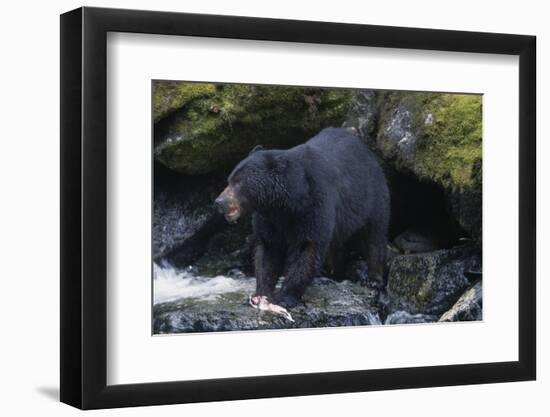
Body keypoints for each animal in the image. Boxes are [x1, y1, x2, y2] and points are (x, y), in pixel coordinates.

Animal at [216, 128, 392, 308]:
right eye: (229, 179)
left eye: (239, 182)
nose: (219, 202)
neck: (287, 202)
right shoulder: (269, 218)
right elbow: (268, 250)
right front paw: (261, 293)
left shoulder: (314, 204)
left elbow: (307, 248)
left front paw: (285, 297)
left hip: (372, 197)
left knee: (374, 236)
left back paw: (373, 279)